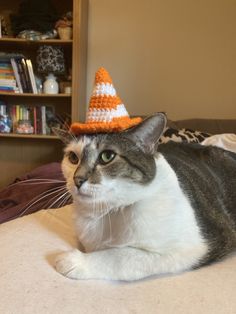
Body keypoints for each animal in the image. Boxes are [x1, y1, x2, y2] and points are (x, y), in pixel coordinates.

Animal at [53, 111, 236, 280]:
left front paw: (75, 261)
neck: (105, 212)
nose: (77, 179)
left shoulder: (193, 248)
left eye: (107, 156)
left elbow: (121, 256)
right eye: (73, 157)